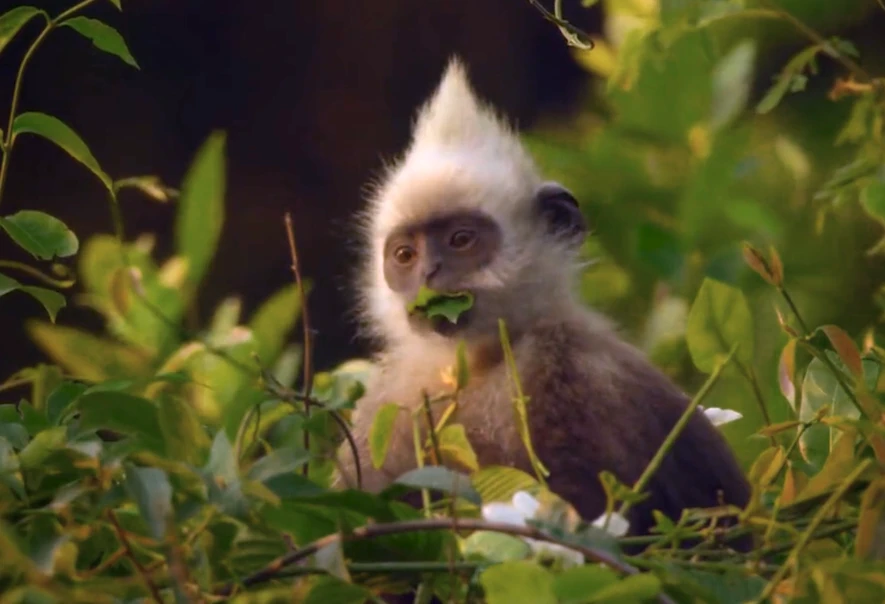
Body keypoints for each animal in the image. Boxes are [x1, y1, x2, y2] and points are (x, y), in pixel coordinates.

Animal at [334, 56, 748, 544]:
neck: (478, 363)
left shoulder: (571, 371)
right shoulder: (391, 398)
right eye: (405, 255)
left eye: (460, 240)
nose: (428, 273)